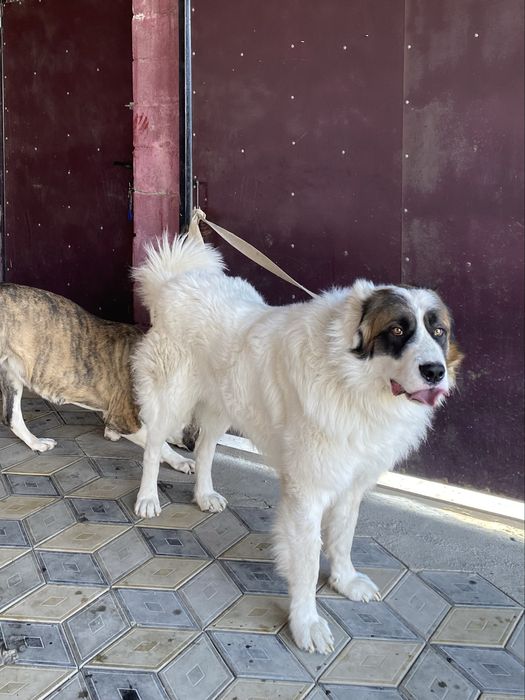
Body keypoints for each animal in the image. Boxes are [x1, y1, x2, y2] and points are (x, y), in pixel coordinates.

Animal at [0, 283, 195, 484]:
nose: (192, 446)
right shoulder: (125, 420)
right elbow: (159, 443)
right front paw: (180, 461)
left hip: (11, 374)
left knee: (12, 417)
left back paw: (36, 442)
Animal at [132, 235, 463, 654]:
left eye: (439, 332)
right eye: (398, 331)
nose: (435, 371)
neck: (351, 382)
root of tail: (176, 281)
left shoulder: (350, 484)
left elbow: (342, 537)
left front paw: (344, 581)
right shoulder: (308, 493)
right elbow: (306, 563)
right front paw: (306, 623)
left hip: (226, 403)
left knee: (205, 448)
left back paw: (204, 495)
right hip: (173, 398)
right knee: (153, 445)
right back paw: (147, 498)